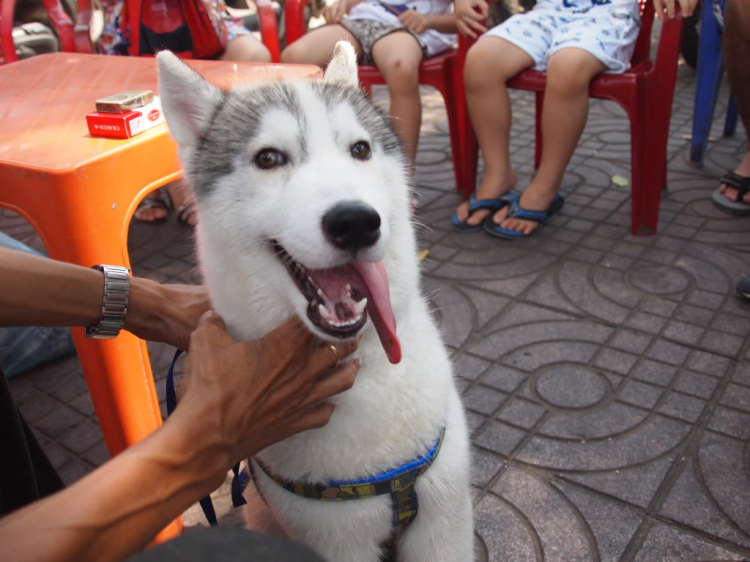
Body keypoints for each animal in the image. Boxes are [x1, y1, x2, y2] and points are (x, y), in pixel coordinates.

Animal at [158, 41, 472, 556]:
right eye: (268, 158)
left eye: (360, 150)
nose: (356, 222)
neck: (364, 371)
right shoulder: (335, 541)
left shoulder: (443, 522)